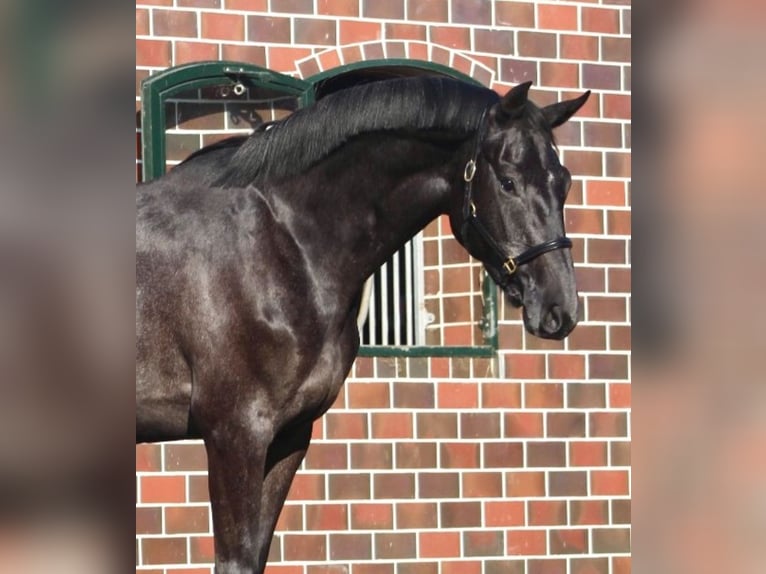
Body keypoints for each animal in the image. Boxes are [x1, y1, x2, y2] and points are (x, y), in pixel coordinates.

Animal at [138, 77, 592, 574]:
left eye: (565, 182)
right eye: (508, 181)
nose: (559, 307)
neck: (282, 241)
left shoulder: (289, 436)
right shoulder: (234, 433)